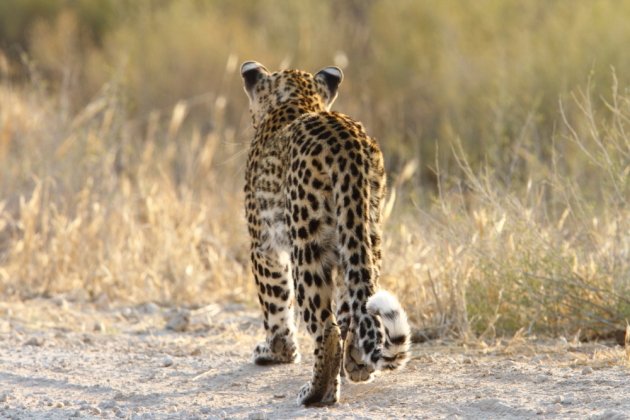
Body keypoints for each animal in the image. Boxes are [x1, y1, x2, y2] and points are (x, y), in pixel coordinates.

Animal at [242, 60, 414, 406]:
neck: (299, 98)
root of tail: (346, 142)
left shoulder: (263, 245)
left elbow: (274, 304)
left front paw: (276, 352)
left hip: (306, 243)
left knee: (327, 326)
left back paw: (316, 393)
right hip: (364, 230)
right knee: (354, 309)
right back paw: (357, 364)